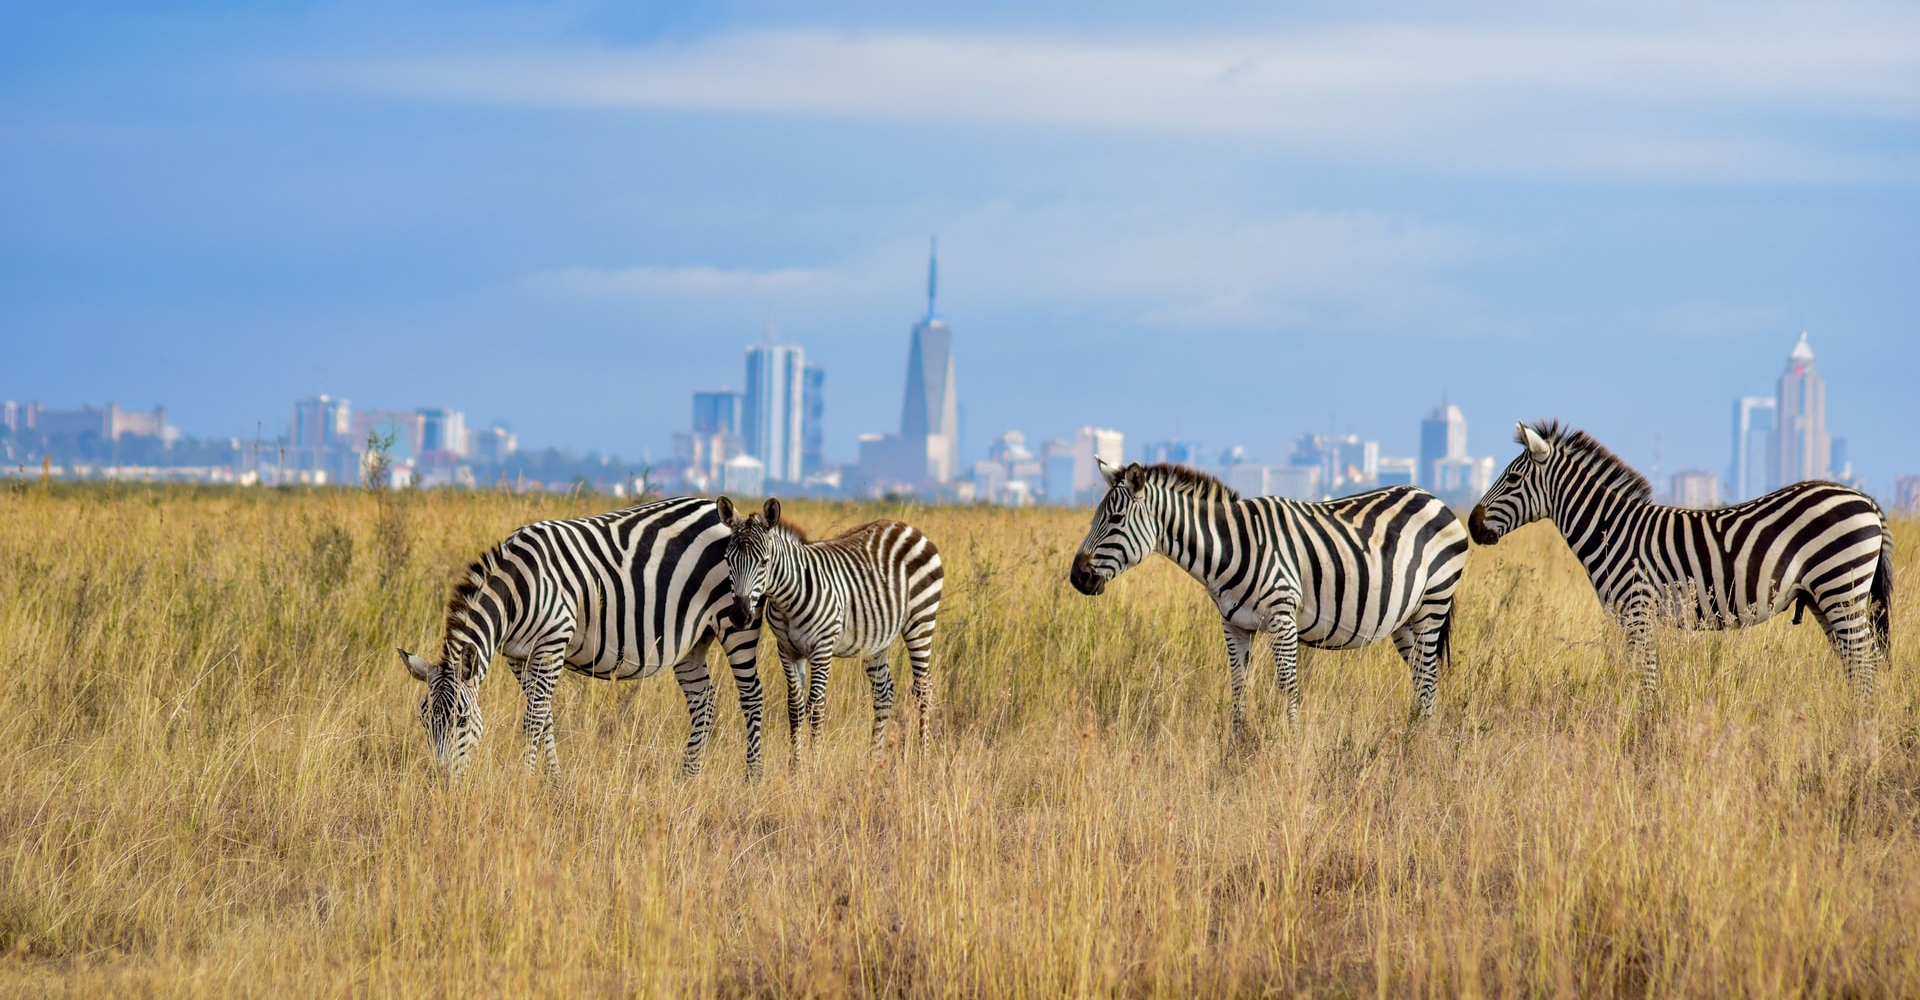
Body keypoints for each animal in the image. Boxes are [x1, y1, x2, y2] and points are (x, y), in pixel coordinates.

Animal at [397, 495, 764, 779]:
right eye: (424, 721)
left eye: (461, 720)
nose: (442, 780)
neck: (517, 590)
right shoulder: (517, 656)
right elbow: (545, 717)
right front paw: (553, 780)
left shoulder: (552, 642)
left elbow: (533, 718)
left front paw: (527, 780)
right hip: (692, 640)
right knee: (704, 701)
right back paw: (688, 777)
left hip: (736, 622)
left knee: (752, 696)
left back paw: (753, 777)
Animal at [718, 495, 940, 760]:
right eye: (728, 560)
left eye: (764, 562)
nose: (740, 616)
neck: (787, 599)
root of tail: (905, 526)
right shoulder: (787, 650)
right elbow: (794, 707)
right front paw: (795, 765)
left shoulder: (821, 648)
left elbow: (815, 707)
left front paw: (814, 764)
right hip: (877, 638)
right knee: (883, 693)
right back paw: (874, 757)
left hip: (921, 620)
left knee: (923, 689)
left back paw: (923, 756)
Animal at [1067, 456, 1466, 729]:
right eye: (1096, 516)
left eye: (1115, 520)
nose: (1077, 577)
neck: (1230, 548)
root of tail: (1433, 497)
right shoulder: (1234, 625)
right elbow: (1238, 687)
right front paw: (1237, 749)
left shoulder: (1282, 619)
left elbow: (1288, 688)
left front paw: (1288, 747)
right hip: (1405, 619)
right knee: (1420, 677)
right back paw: (1414, 736)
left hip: (1433, 603)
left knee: (1429, 676)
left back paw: (1421, 744)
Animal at [1466, 416, 1889, 698]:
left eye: (1513, 479)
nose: (1471, 524)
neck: (1610, 530)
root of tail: (1865, 498)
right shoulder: (1628, 616)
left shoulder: (1637, 609)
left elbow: (1646, 676)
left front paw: (1645, 728)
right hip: (1824, 597)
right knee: (1855, 662)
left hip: (1840, 586)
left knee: (1865, 661)